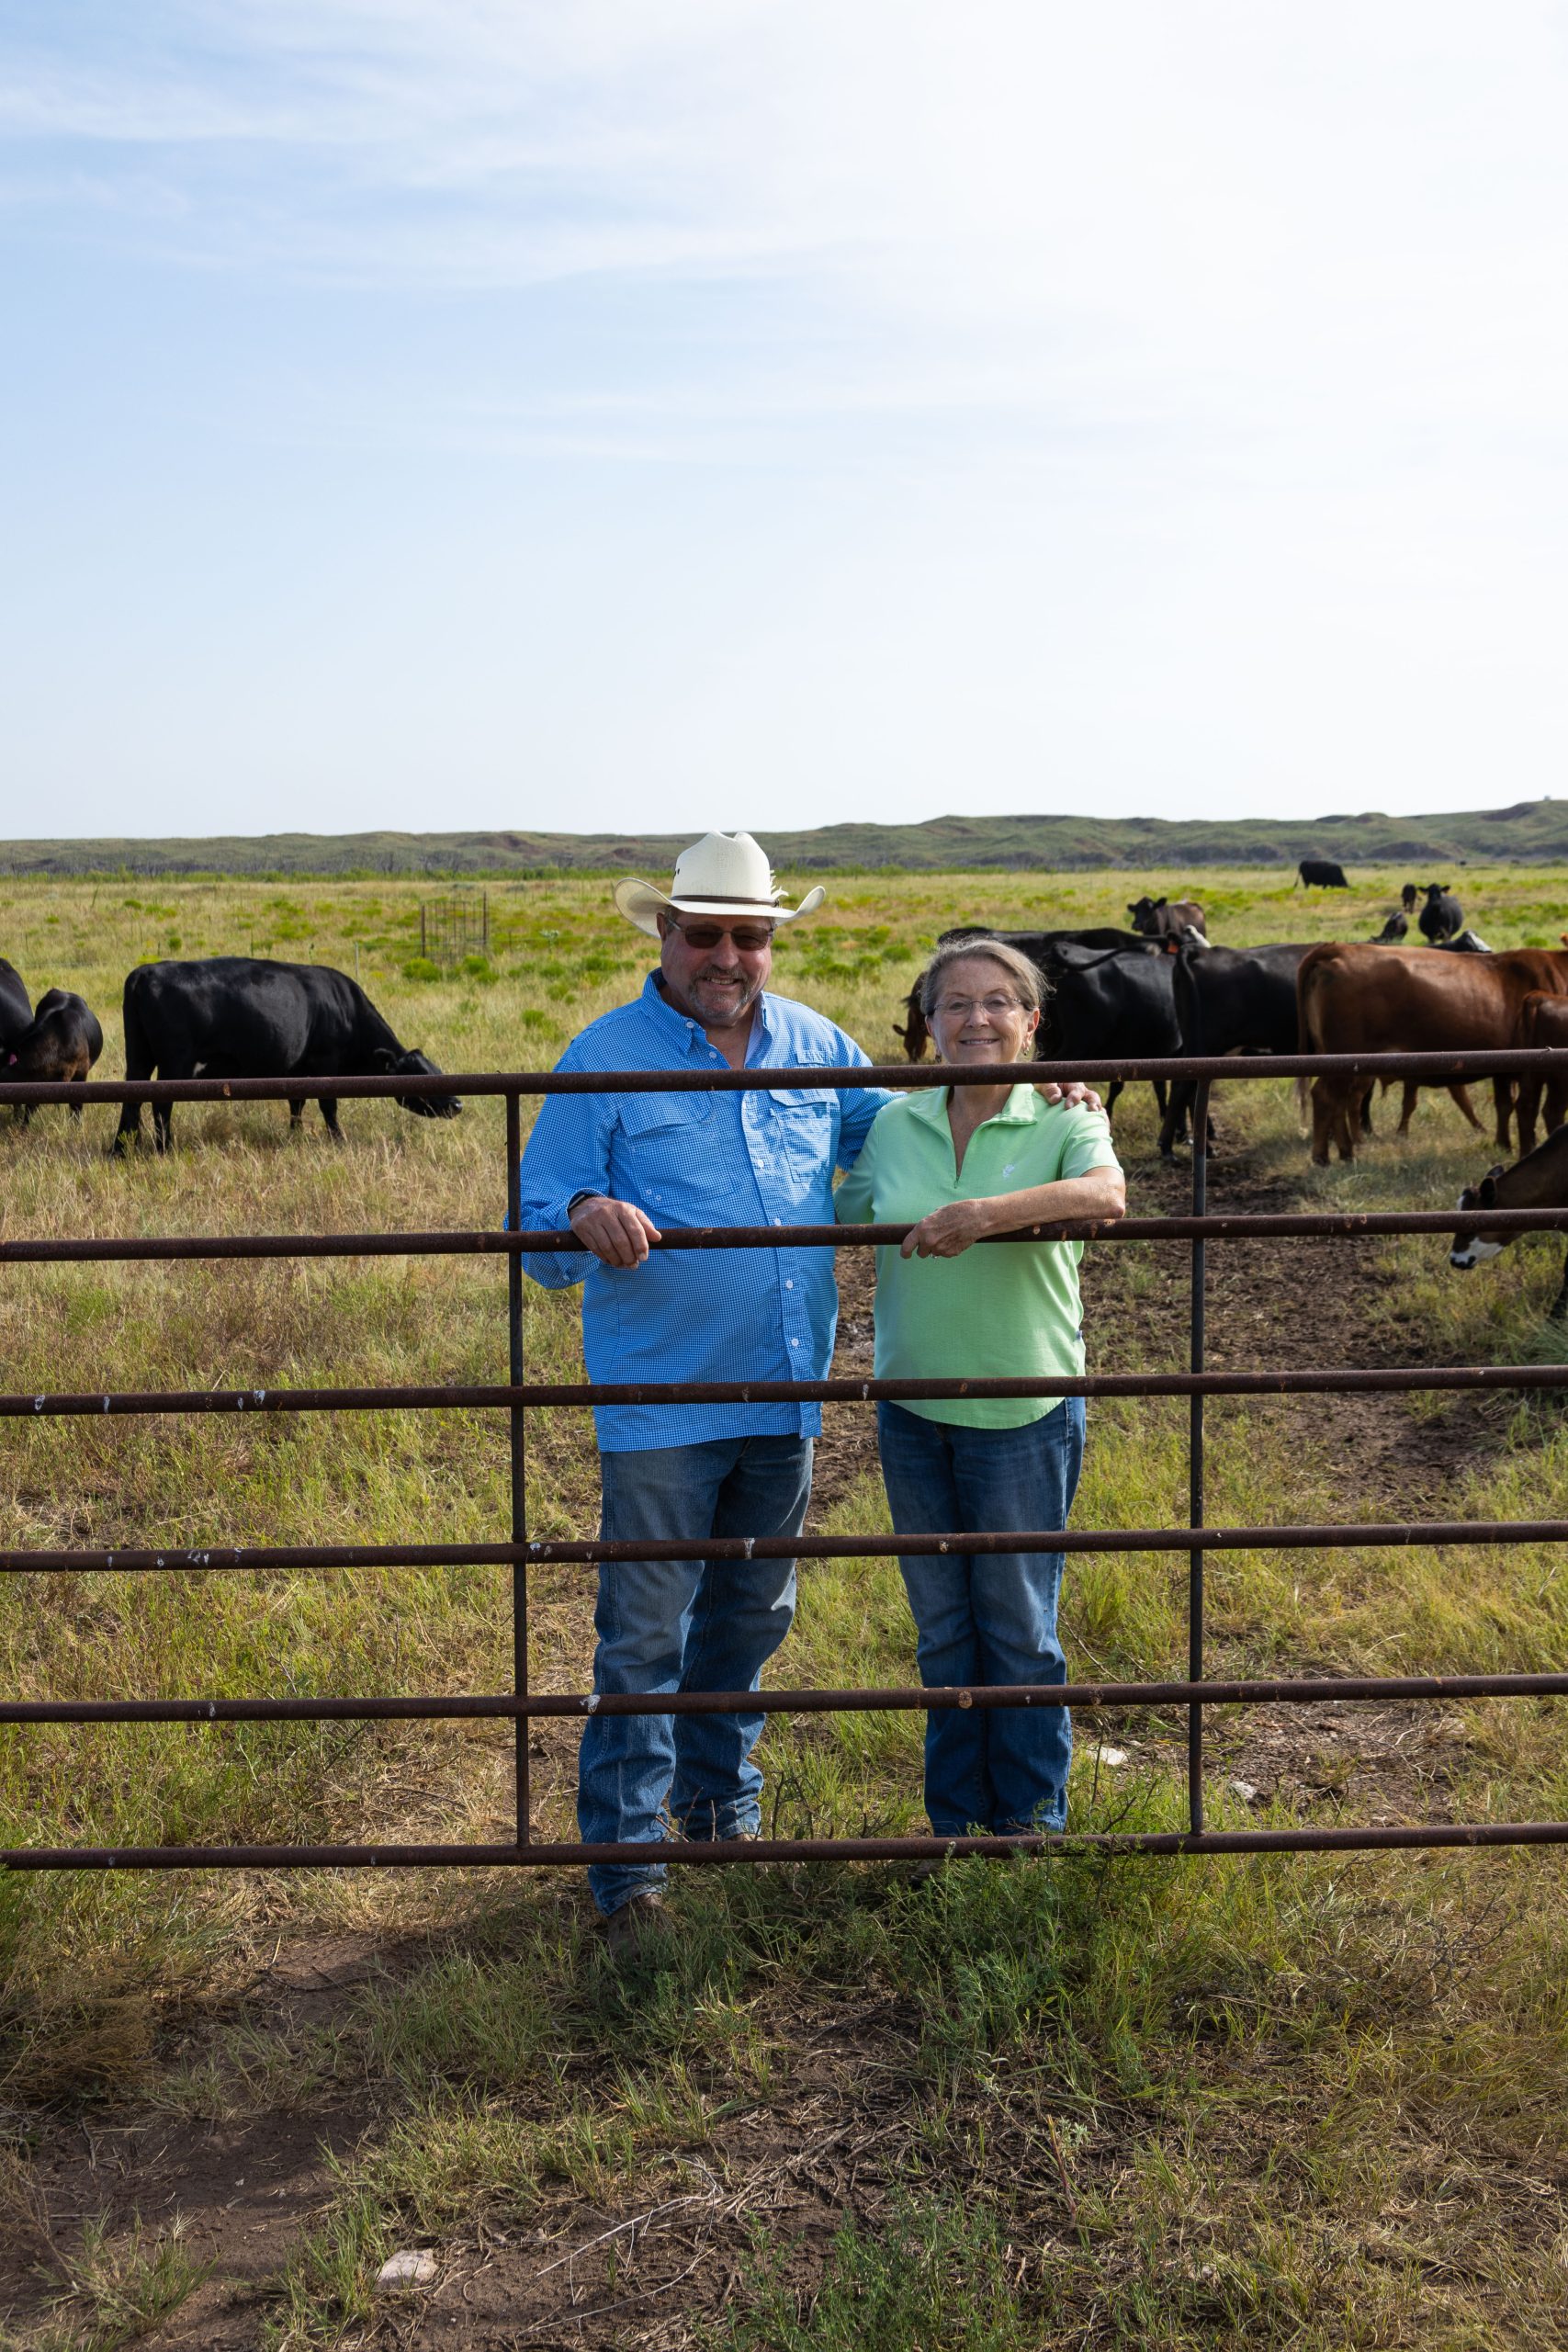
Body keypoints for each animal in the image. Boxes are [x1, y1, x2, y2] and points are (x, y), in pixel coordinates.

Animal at [112, 955, 460, 1157]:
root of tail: (145, 972)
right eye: (420, 1074)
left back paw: (122, 1149)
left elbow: (297, 1102)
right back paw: (164, 1149)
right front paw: (339, 1140)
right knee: (161, 1105)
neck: (345, 1006)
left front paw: (295, 1135)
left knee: (132, 1100)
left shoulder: (298, 1069)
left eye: (438, 1069)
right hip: (174, 1063)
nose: (458, 1103)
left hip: (139, 1058)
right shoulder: (324, 1062)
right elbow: (328, 1106)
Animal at [1297, 935, 1568, 1157]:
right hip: (1346, 1058)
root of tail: (1340, 949)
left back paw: (1344, 1152)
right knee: (1327, 1097)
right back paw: (1327, 1156)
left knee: (1336, 1101)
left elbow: (1503, 1105)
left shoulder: (1505, 1069)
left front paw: (1502, 1144)